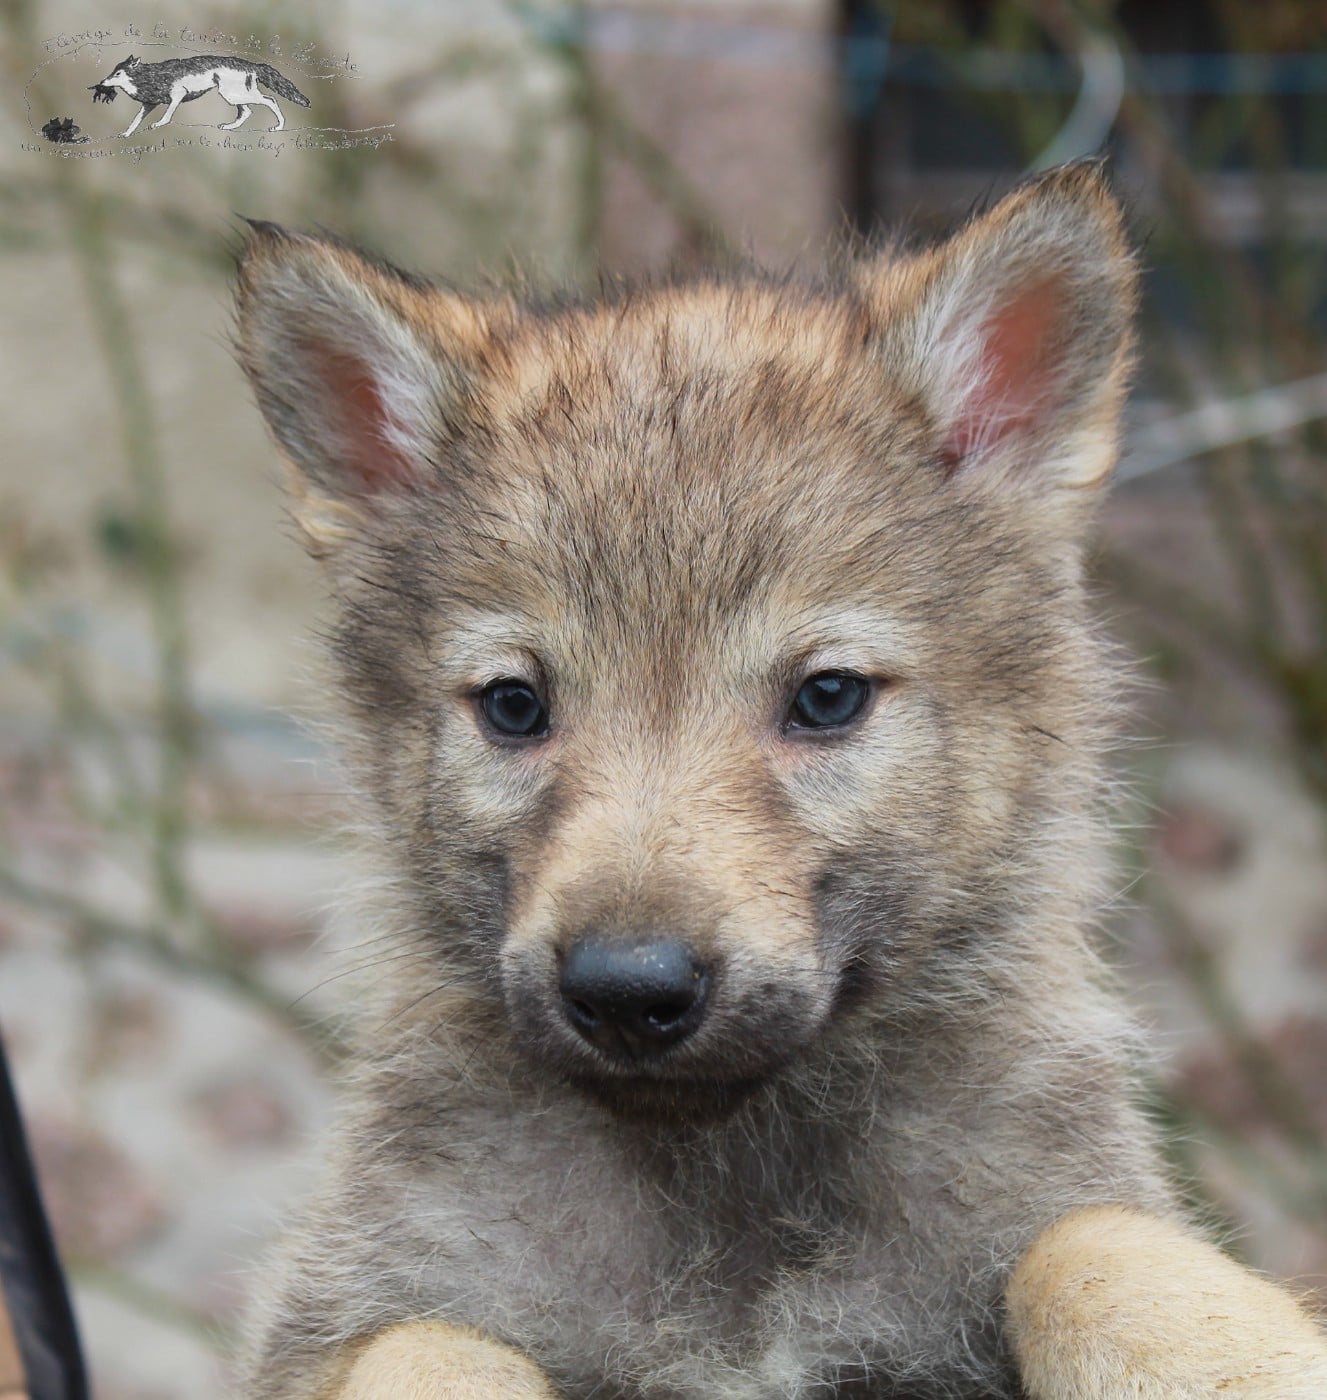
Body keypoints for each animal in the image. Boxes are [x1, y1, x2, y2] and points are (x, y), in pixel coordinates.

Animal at [90, 54, 309, 138]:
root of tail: (252, 65)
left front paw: (158, 124)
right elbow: (135, 121)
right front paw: (126, 134)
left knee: (270, 100)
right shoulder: (148, 105)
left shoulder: (178, 94)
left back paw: (278, 127)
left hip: (234, 95)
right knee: (247, 112)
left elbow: (167, 116)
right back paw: (229, 127)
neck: (149, 76)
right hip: (233, 96)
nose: (102, 83)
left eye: (117, 74)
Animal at [233, 164, 1327, 1398]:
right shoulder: (354, 1306)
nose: (627, 990)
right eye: (514, 706)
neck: (729, 1162)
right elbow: (428, 1344)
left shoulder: (1044, 1207)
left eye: (827, 696)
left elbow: (1094, 1244)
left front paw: (1234, 1358)